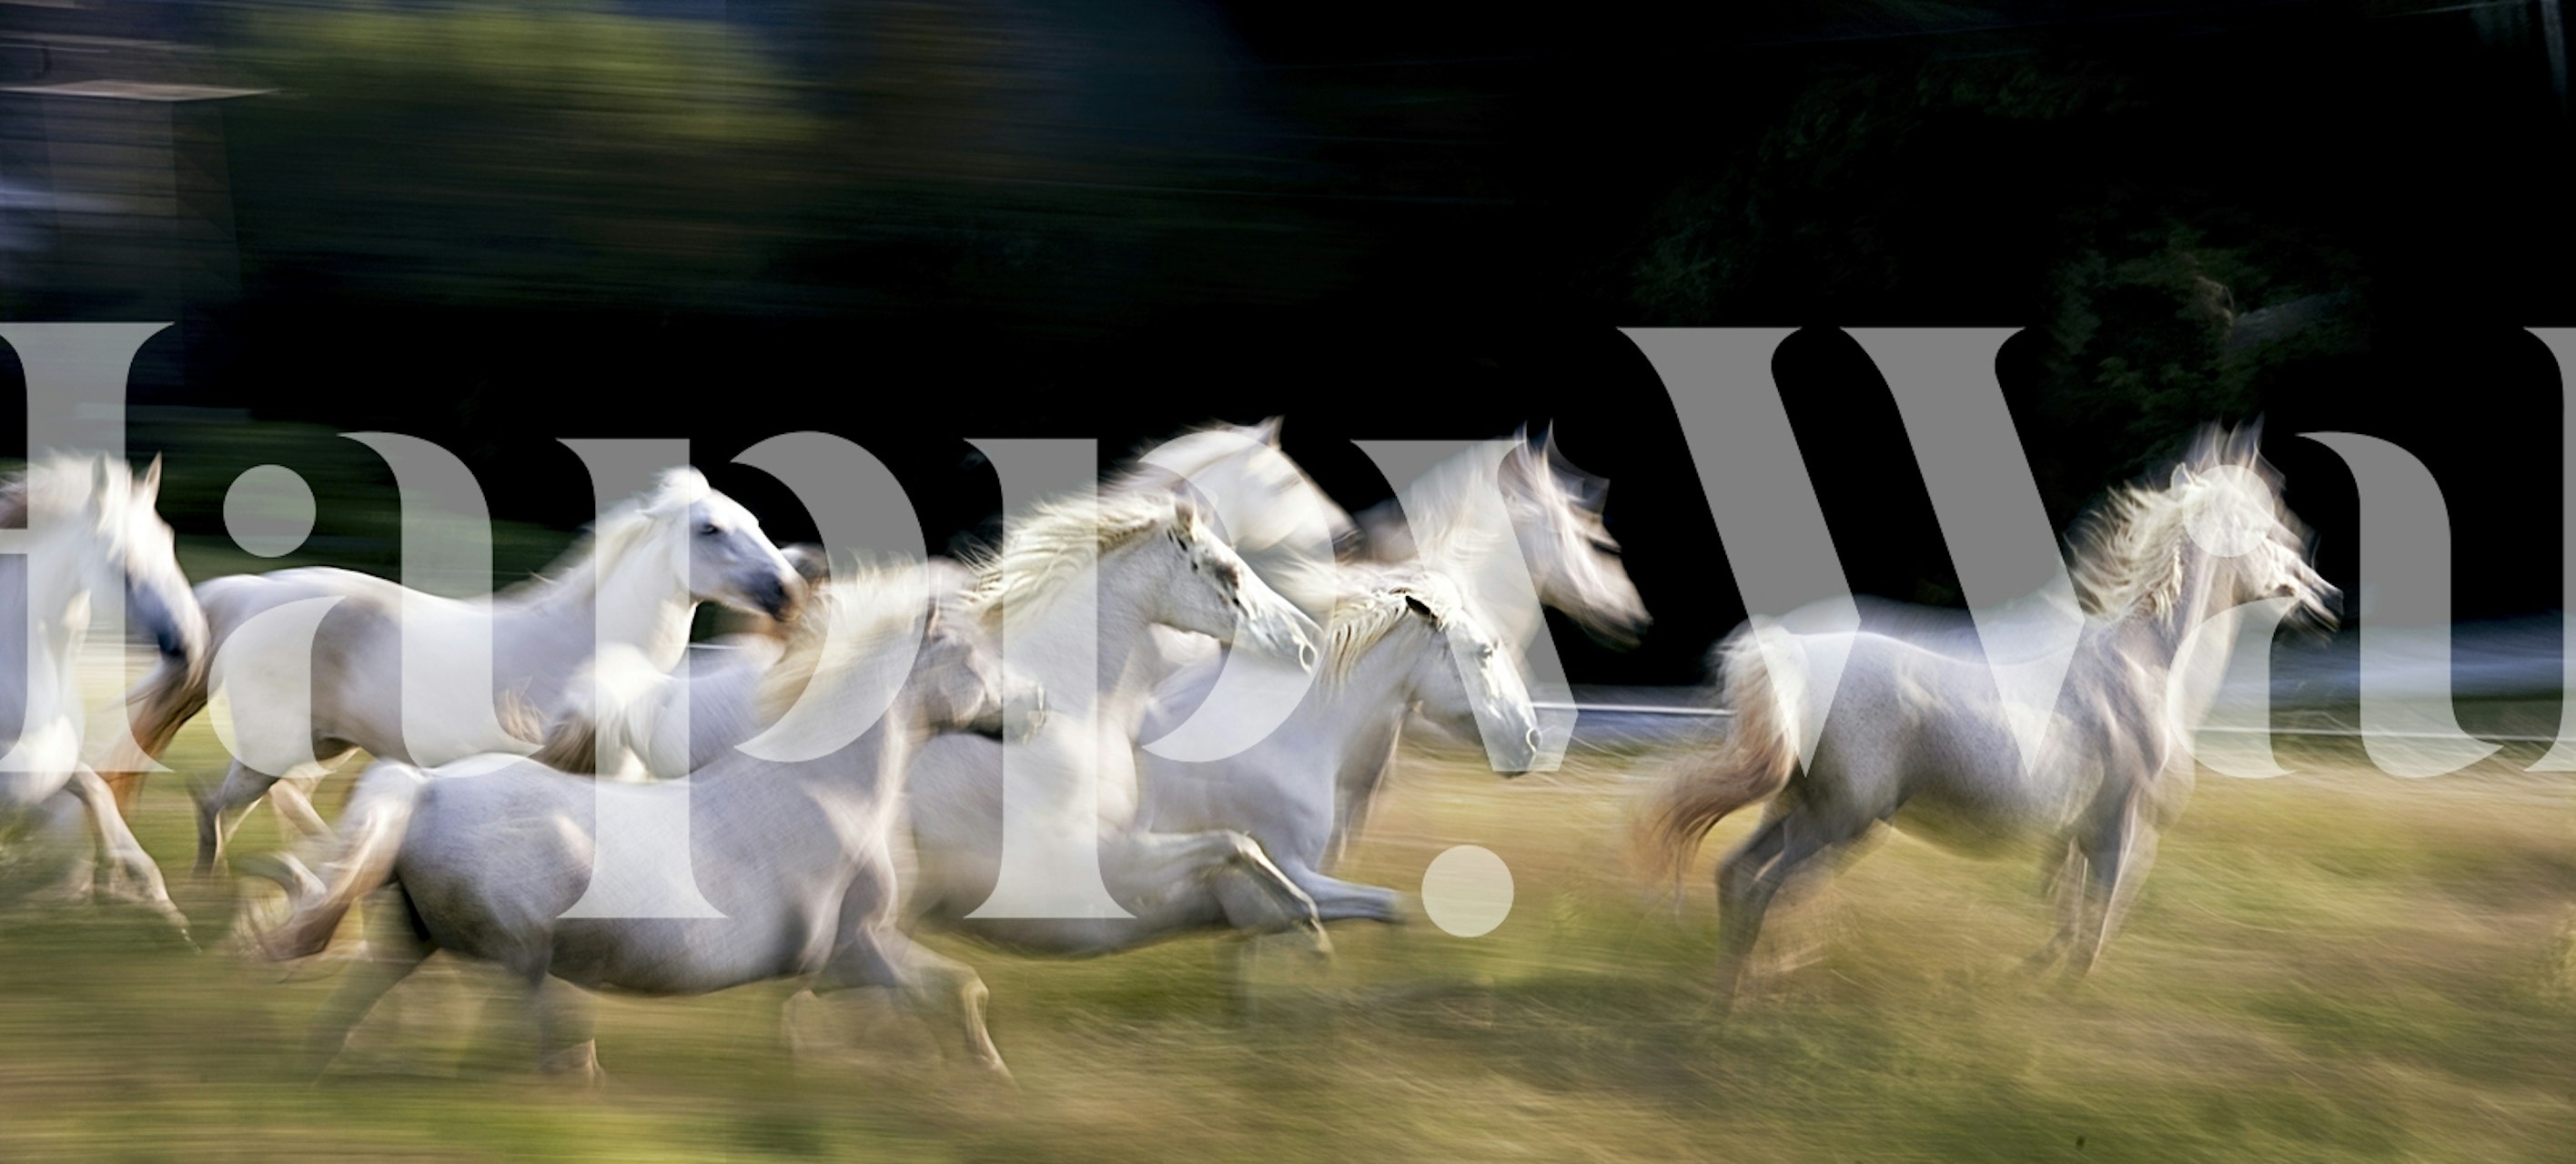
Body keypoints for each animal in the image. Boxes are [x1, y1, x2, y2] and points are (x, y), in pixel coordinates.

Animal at [0, 455, 208, 941]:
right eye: (123, 568)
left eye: (168, 542)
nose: (193, 643)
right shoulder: (19, 771)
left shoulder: (56, 758)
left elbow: (94, 788)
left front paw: (147, 899)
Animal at [99, 466, 807, 875]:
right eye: (711, 529)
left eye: (756, 522)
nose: (791, 592)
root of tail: (250, 592)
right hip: (274, 749)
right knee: (219, 810)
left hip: (324, 746)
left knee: (267, 804)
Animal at [259, 559, 1036, 1083]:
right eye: (976, 656)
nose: (1036, 705)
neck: (830, 787)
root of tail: (423, 791)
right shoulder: (856, 947)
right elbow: (961, 987)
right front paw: (987, 1076)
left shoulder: (850, 954)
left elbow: (911, 996)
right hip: (527, 954)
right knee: (548, 1028)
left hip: (411, 939)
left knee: (355, 1005)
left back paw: (323, 1069)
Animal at [1635, 422, 2338, 1014]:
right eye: (2270, 537)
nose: (2324, 596)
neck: (2149, 671)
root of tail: (1791, 661)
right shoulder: (2122, 826)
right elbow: (2098, 918)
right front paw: (2066, 994)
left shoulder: (2081, 833)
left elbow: (2072, 914)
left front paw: (2027, 979)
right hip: (1839, 820)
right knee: (1765, 890)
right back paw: (1743, 1003)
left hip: (1793, 807)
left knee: (1736, 877)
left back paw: (1736, 994)